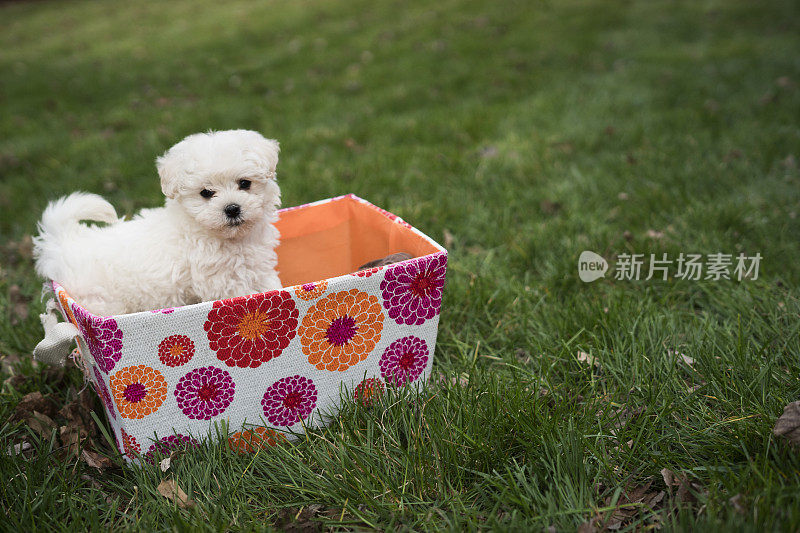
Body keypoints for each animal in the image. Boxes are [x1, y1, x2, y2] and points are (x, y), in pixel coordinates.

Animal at [34, 130, 284, 316]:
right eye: (206, 193)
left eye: (245, 183)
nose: (232, 208)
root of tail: (64, 237)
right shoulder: (222, 281)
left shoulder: (258, 266)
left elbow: (271, 284)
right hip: (100, 301)